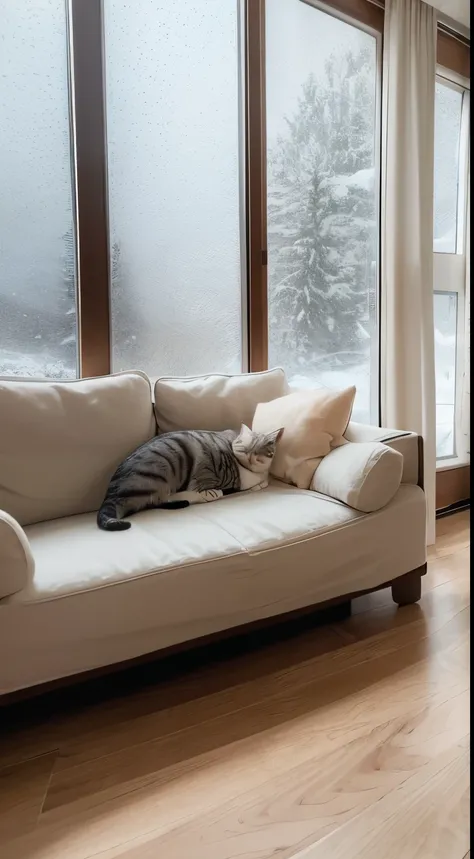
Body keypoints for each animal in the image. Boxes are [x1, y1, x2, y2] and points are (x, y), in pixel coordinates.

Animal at [96, 424, 282, 532]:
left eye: (261, 449)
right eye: (245, 449)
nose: (252, 457)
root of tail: (109, 495)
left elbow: (263, 482)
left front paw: (260, 483)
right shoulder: (208, 473)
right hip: (161, 472)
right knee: (160, 498)